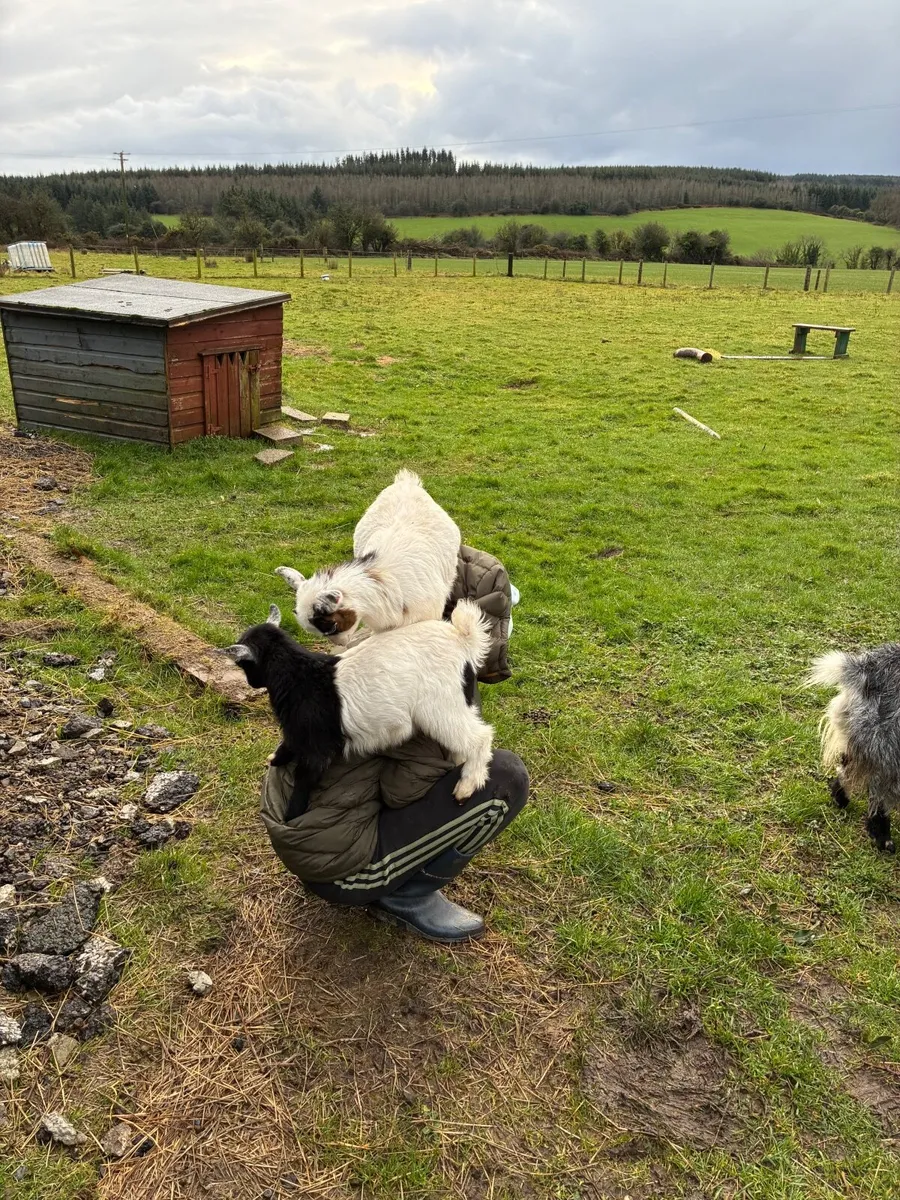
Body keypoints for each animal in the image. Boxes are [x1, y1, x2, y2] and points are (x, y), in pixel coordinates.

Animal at [224, 601, 493, 819]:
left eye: (243, 664)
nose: (252, 683)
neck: (299, 675)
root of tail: (462, 639)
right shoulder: (298, 731)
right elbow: (289, 744)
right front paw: (274, 759)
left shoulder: (316, 742)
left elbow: (305, 776)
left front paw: (291, 815)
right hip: (458, 701)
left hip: (441, 706)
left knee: (480, 737)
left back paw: (466, 786)